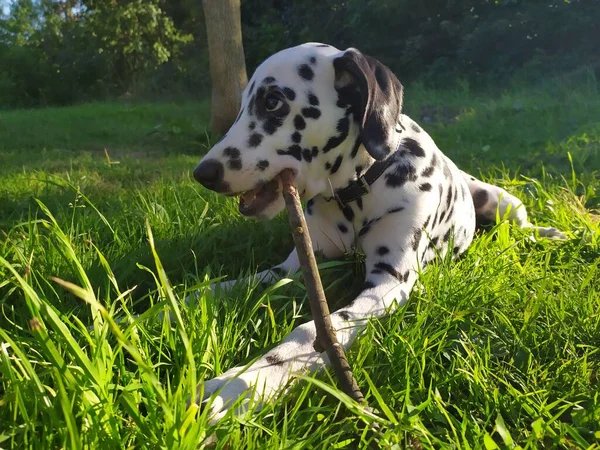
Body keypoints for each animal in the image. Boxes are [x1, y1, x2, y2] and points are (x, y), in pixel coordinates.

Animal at [191, 42, 564, 422]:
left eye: (272, 101)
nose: (203, 173)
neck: (357, 193)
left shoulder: (387, 286)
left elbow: (311, 330)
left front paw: (243, 384)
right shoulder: (292, 268)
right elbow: (224, 286)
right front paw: (177, 302)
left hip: (504, 203)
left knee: (523, 226)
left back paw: (551, 233)